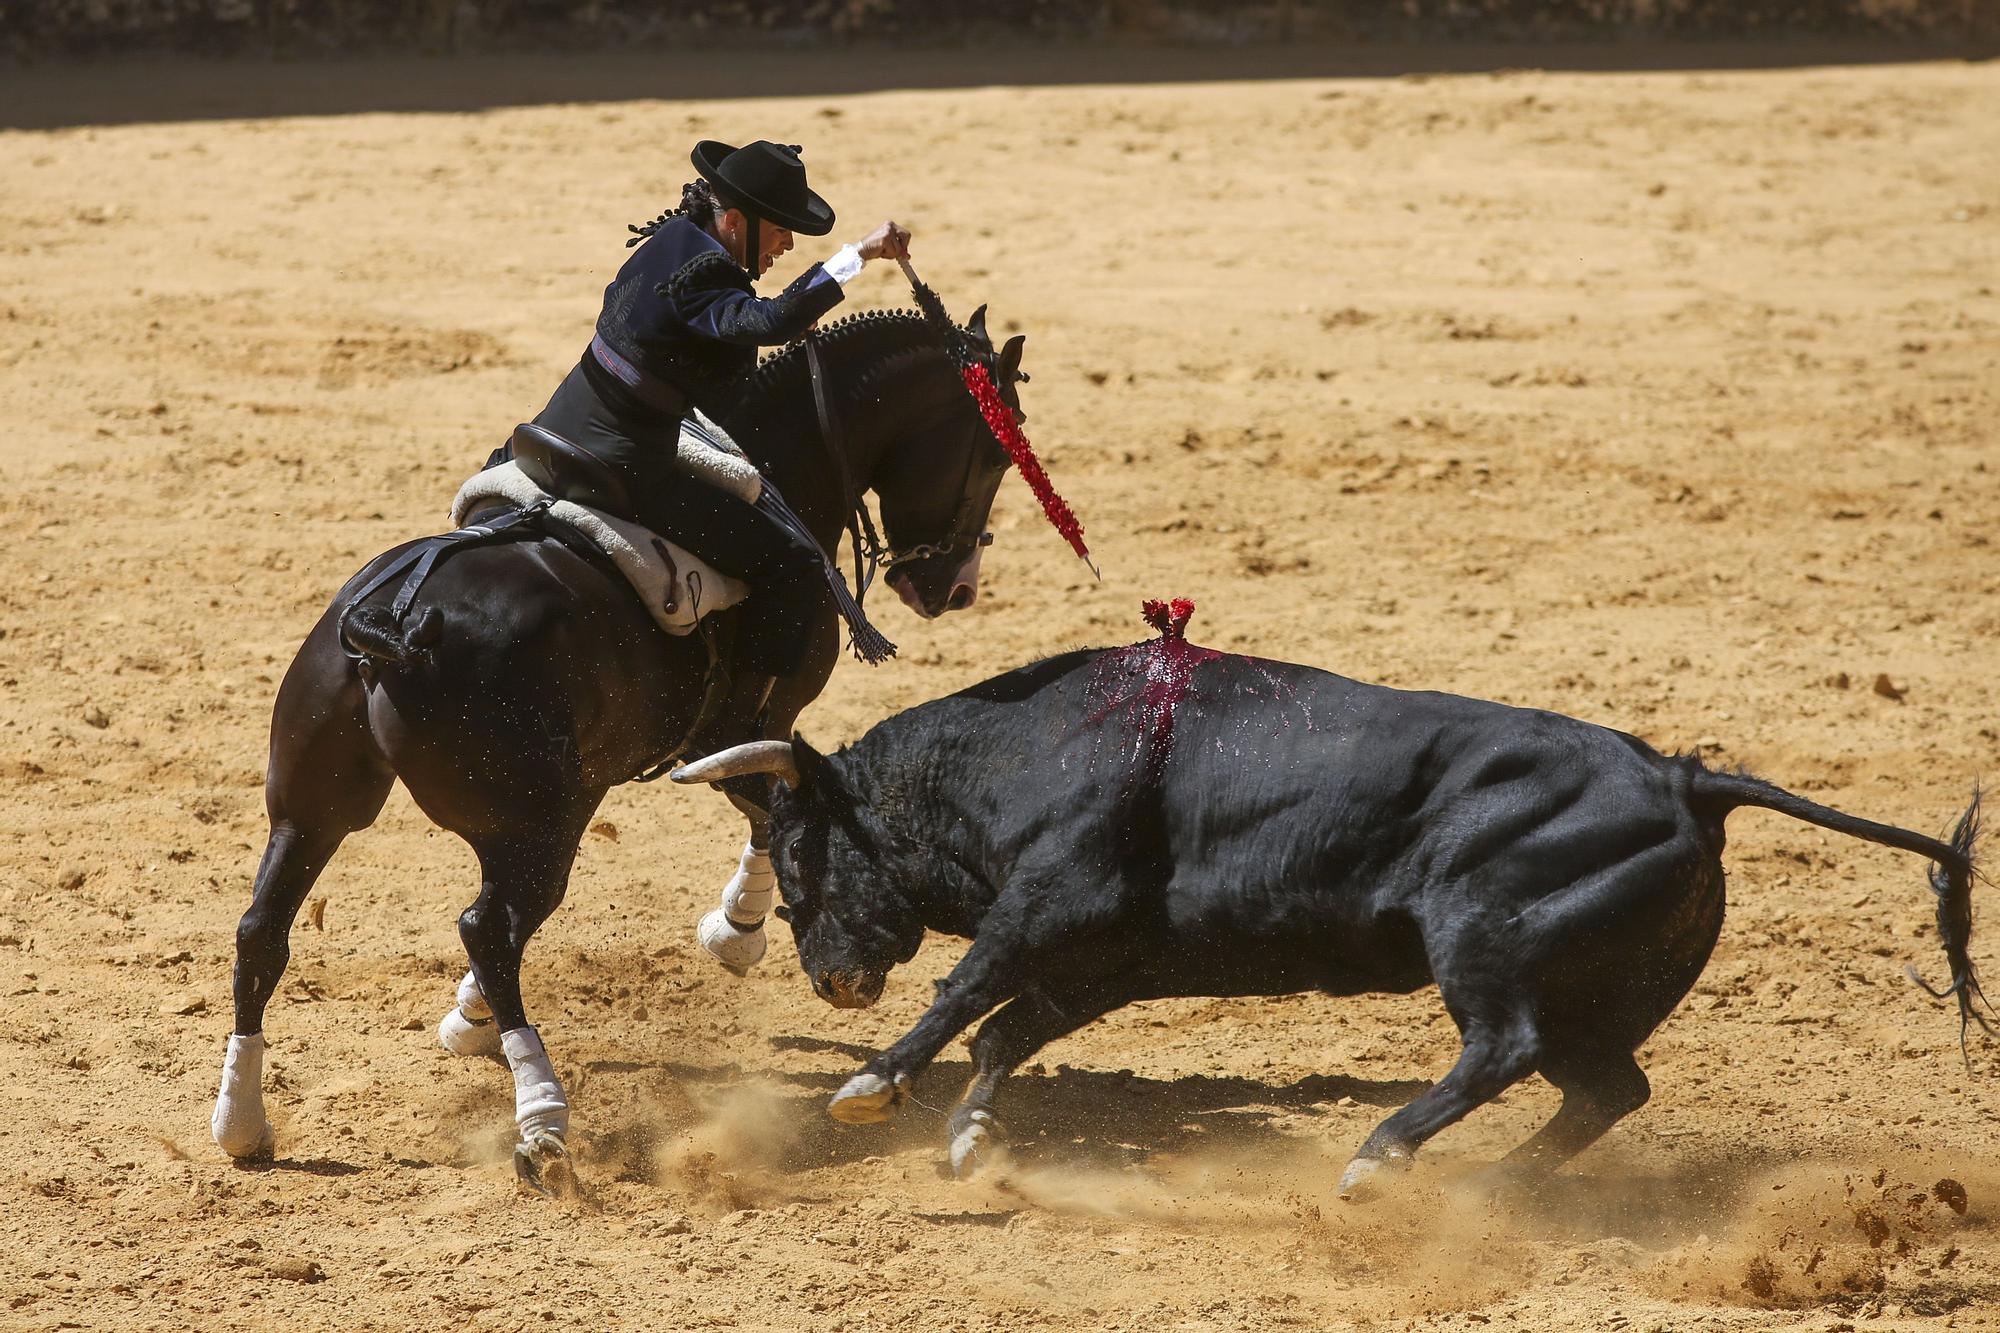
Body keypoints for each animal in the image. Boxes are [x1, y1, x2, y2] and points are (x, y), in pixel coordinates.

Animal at [211, 304, 1032, 1176]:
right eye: (993, 451)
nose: (955, 587)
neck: (773, 458)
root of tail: (392, 621)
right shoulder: (741, 729)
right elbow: (774, 807)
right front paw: (736, 932)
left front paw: (467, 1016)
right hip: (540, 824)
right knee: (489, 928)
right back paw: (542, 1116)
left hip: (314, 809)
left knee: (264, 931)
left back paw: (243, 1121)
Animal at [680, 624, 1992, 1192]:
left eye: (792, 852)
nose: (827, 978)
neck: (1023, 748)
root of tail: (1681, 777)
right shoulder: (1111, 960)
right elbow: (1008, 1028)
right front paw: (965, 1136)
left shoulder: (1057, 897)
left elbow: (967, 991)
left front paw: (871, 1085)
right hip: (1596, 993)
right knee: (1602, 1087)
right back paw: (1481, 1188)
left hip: (1483, 940)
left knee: (1502, 1046)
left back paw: (1378, 1156)